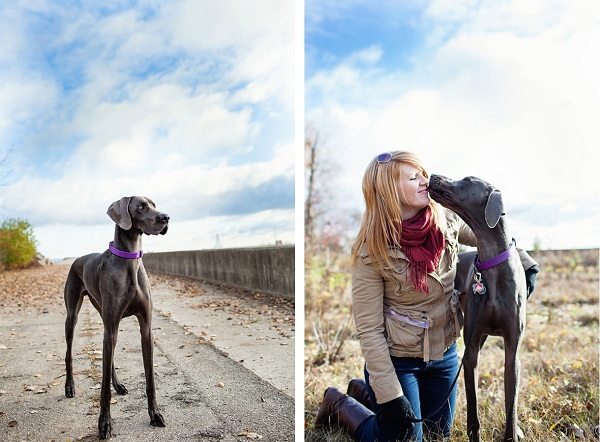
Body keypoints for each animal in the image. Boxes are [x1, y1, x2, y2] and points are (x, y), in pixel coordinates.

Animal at [63, 196, 169, 438]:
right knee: (69, 353)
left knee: (109, 356)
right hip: (73, 316)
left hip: (106, 317)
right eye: (141, 206)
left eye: (154, 204)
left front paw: (155, 414)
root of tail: (77, 259)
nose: (166, 217)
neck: (129, 259)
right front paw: (104, 424)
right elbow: (103, 390)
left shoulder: (145, 327)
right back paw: (69, 386)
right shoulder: (111, 326)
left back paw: (118, 385)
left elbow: (150, 379)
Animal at [428, 174, 528, 440]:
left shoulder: (512, 352)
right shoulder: (471, 349)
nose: (433, 176)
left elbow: (512, 405)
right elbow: (473, 405)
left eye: (467, 179)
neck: (491, 263)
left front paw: (512, 434)